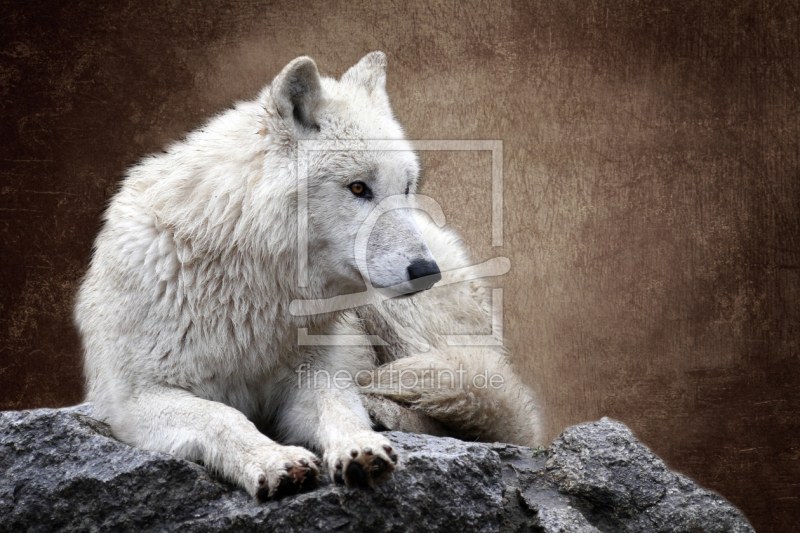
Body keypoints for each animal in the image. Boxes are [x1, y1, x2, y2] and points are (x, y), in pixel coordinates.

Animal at [76, 51, 544, 498]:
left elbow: (337, 405)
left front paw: (360, 447)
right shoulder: (136, 400)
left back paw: (383, 412)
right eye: (358, 188)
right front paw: (274, 461)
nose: (428, 272)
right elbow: (222, 416)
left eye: (406, 187)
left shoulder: (314, 371)